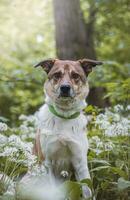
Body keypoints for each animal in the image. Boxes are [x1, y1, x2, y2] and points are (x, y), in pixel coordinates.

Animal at [33, 58, 102, 198]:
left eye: (75, 75)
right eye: (57, 75)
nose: (65, 88)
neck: (64, 115)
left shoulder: (80, 163)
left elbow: (87, 191)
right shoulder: (47, 163)